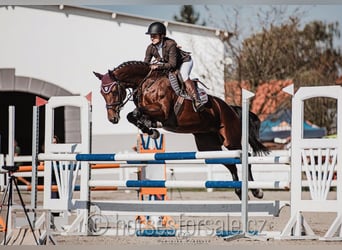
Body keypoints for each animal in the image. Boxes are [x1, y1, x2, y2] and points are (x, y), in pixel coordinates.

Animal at [94, 60, 270, 199]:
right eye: (102, 93)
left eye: (114, 91)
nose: (112, 118)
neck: (147, 83)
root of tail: (231, 108)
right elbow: (133, 116)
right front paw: (151, 130)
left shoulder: (163, 111)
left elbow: (136, 113)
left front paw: (151, 129)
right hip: (208, 147)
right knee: (230, 164)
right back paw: (240, 192)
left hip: (230, 139)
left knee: (245, 159)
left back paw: (257, 191)